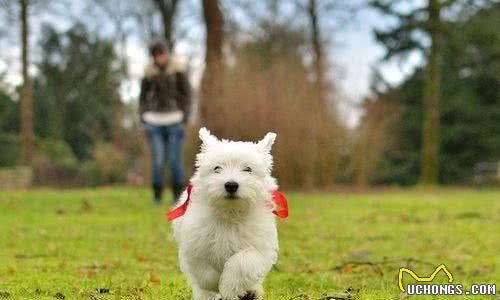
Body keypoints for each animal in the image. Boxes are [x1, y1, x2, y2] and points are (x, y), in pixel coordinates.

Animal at [168, 127, 286, 300]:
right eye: (217, 168)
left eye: (248, 169)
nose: (231, 185)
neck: (229, 212)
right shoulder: (196, 246)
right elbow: (206, 273)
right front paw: (215, 285)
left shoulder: (257, 247)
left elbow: (241, 263)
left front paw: (229, 288)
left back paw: (251, 292)